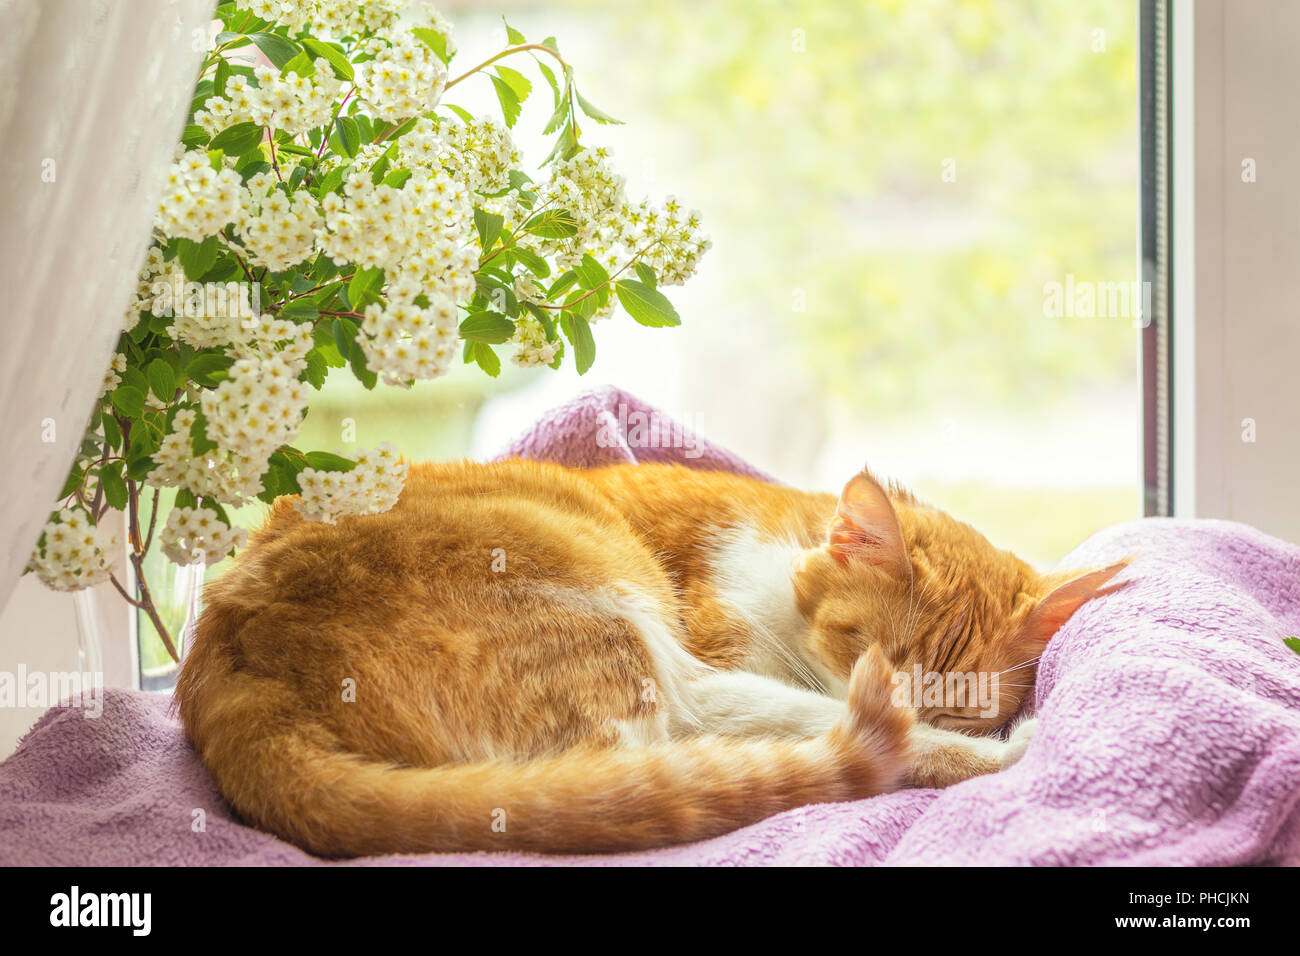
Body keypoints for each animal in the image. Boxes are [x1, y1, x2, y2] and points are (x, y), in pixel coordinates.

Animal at [175, 460, 1128, 858]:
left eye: (963, 696)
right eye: (869, 653)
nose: (924, 709)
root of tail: (227, 643)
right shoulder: (723, 648)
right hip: (620, 639)